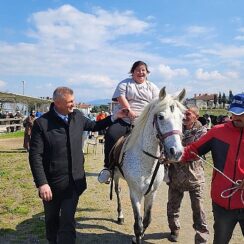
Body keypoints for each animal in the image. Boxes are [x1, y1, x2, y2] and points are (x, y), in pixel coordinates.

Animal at [111, 86, 186, 243]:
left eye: (182, 118)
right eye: (161, 117)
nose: (176, 152)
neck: (146, 162)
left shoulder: (151, 193)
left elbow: (146, 221)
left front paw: (139, 237)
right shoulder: (135, 193)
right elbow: (138, 224)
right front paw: (137, 237)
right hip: (115, 175)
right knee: (117, 191)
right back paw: (120, 216)